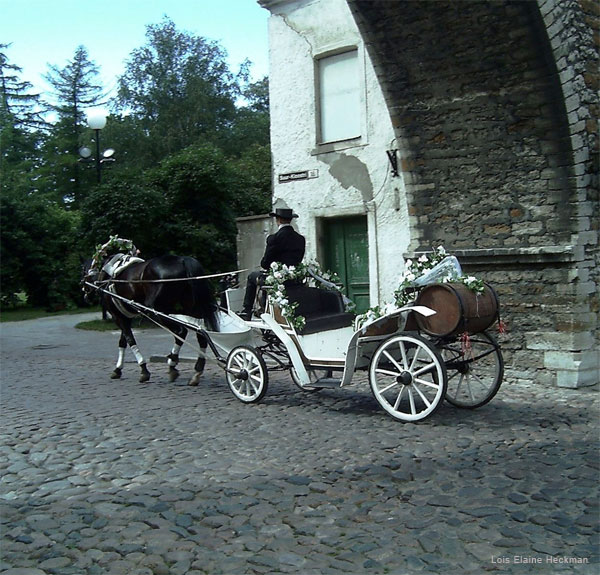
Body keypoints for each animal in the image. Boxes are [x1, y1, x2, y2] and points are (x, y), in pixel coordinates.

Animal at [82, 252, 216, 388]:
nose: (84, 289)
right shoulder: (125, 317)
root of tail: (182, 260)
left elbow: (130, 340)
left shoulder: (118, 316)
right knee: (201, 334)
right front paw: (118, 369)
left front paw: (143, 369)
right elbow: (122, 342)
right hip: (191, 307)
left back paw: (173, 362)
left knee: (181, 331)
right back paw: (196, 372)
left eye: (82, 269)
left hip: (156, 310)